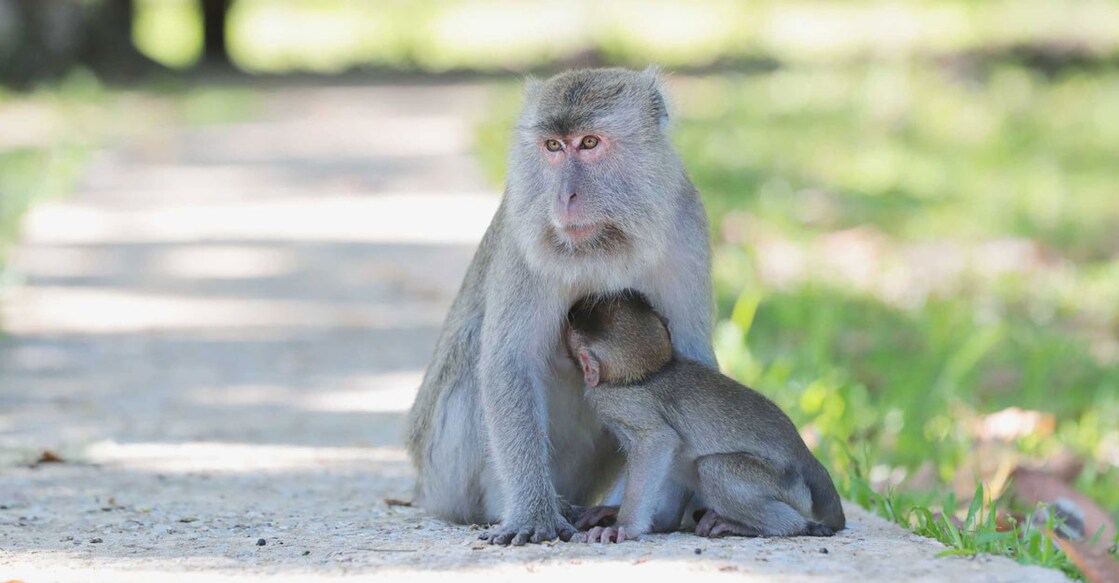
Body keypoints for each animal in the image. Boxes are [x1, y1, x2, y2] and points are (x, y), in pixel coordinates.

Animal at [404, 67, 717, 546]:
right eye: (553, 146)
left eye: (588, 143)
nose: (564, 197)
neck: (605, 246)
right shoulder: (525, 236)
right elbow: (509, 362)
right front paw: (533, 514)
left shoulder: (686, 226)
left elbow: (686, 361)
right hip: (444, 477)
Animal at [563, 290, 846, 543]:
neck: (651, 372)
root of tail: (807, 457)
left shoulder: (614, 402)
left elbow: (657, 441)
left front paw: (624, 527)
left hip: (788, 486)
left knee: (713, 468)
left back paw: (777, 526)